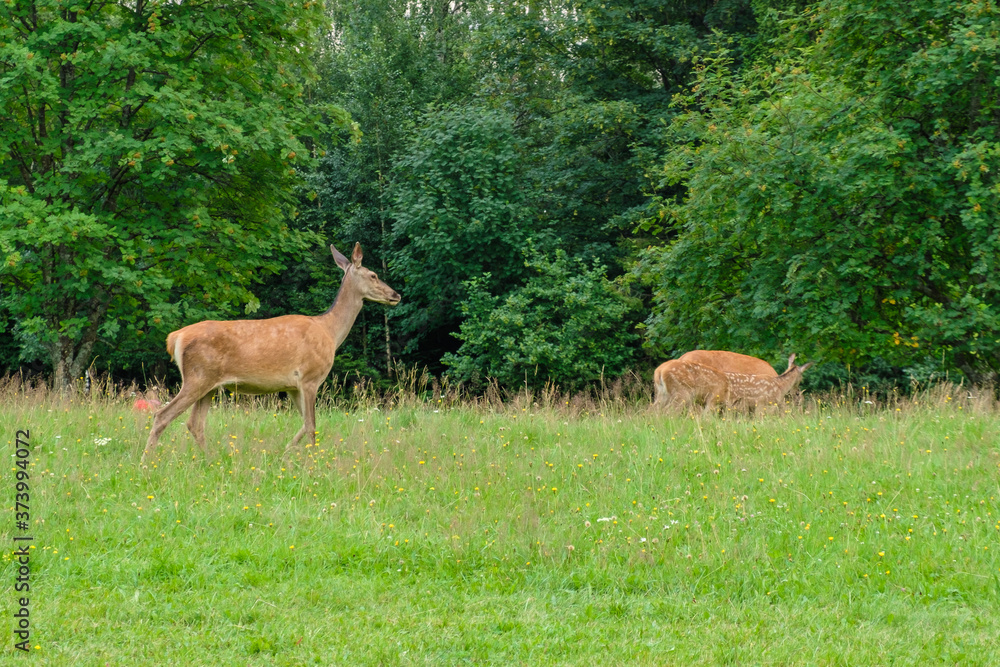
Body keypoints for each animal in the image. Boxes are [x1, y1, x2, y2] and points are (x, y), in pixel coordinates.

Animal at [141, 243, 400, 466]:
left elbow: (305, 424)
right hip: (197, 377)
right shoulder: (310, 377)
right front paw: (313, 462)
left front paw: (285, 453)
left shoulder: (293, 386)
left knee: (194, 424)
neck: (330, 332)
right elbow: (312, 425)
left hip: (209, 385)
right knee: (162, 415)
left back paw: (210, 460)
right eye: (373, 275)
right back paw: (145, 462)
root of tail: (175, 337)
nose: (396, 295)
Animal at [654, 354, 812, 412]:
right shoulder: (762, 404)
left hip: (662, 394)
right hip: (684, 395)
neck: (779, 385)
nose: (798, 393)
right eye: (802, 378)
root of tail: (659, 371)